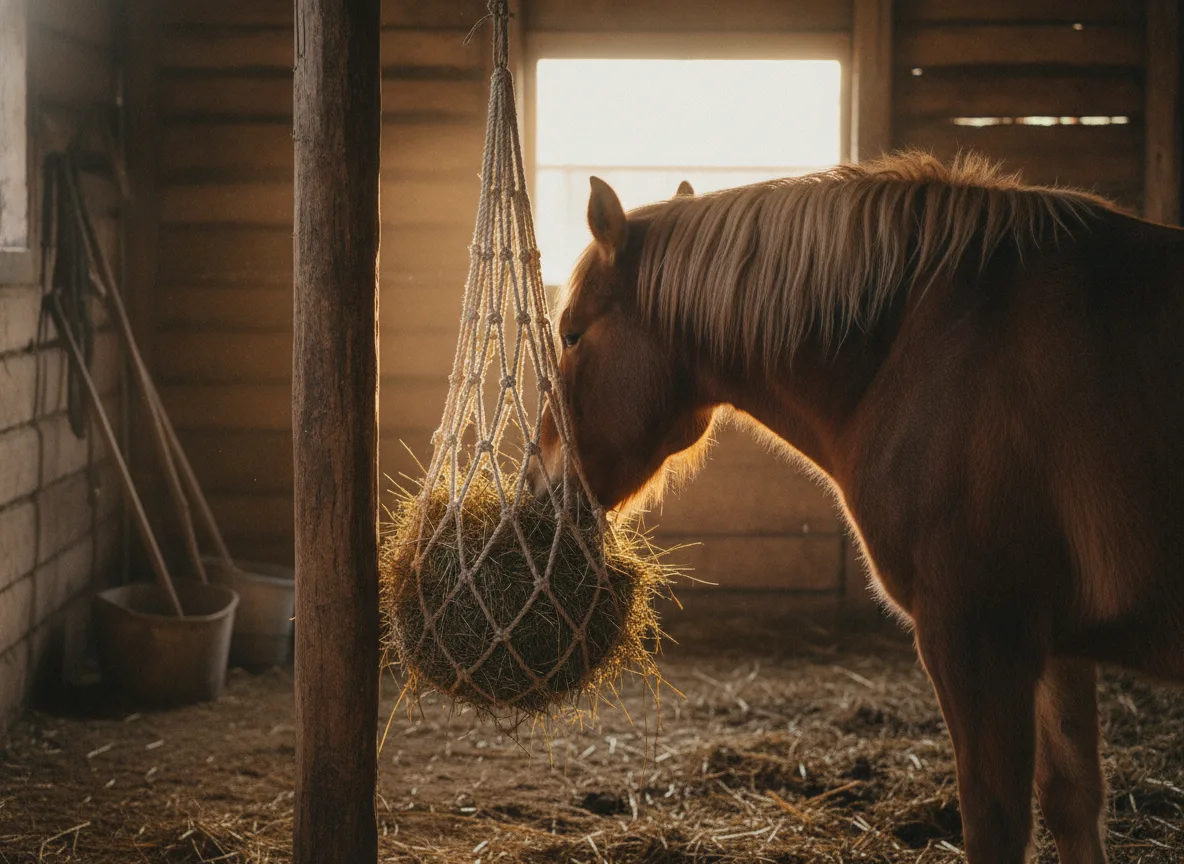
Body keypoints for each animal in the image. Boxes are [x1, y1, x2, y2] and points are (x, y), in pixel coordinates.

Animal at [532, 153, 1184, 863]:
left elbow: (995, 824)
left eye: (571, 334)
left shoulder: (978, 635)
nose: (537, 484)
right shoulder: (1059, 645)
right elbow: (1072, 799)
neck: (921, 346)